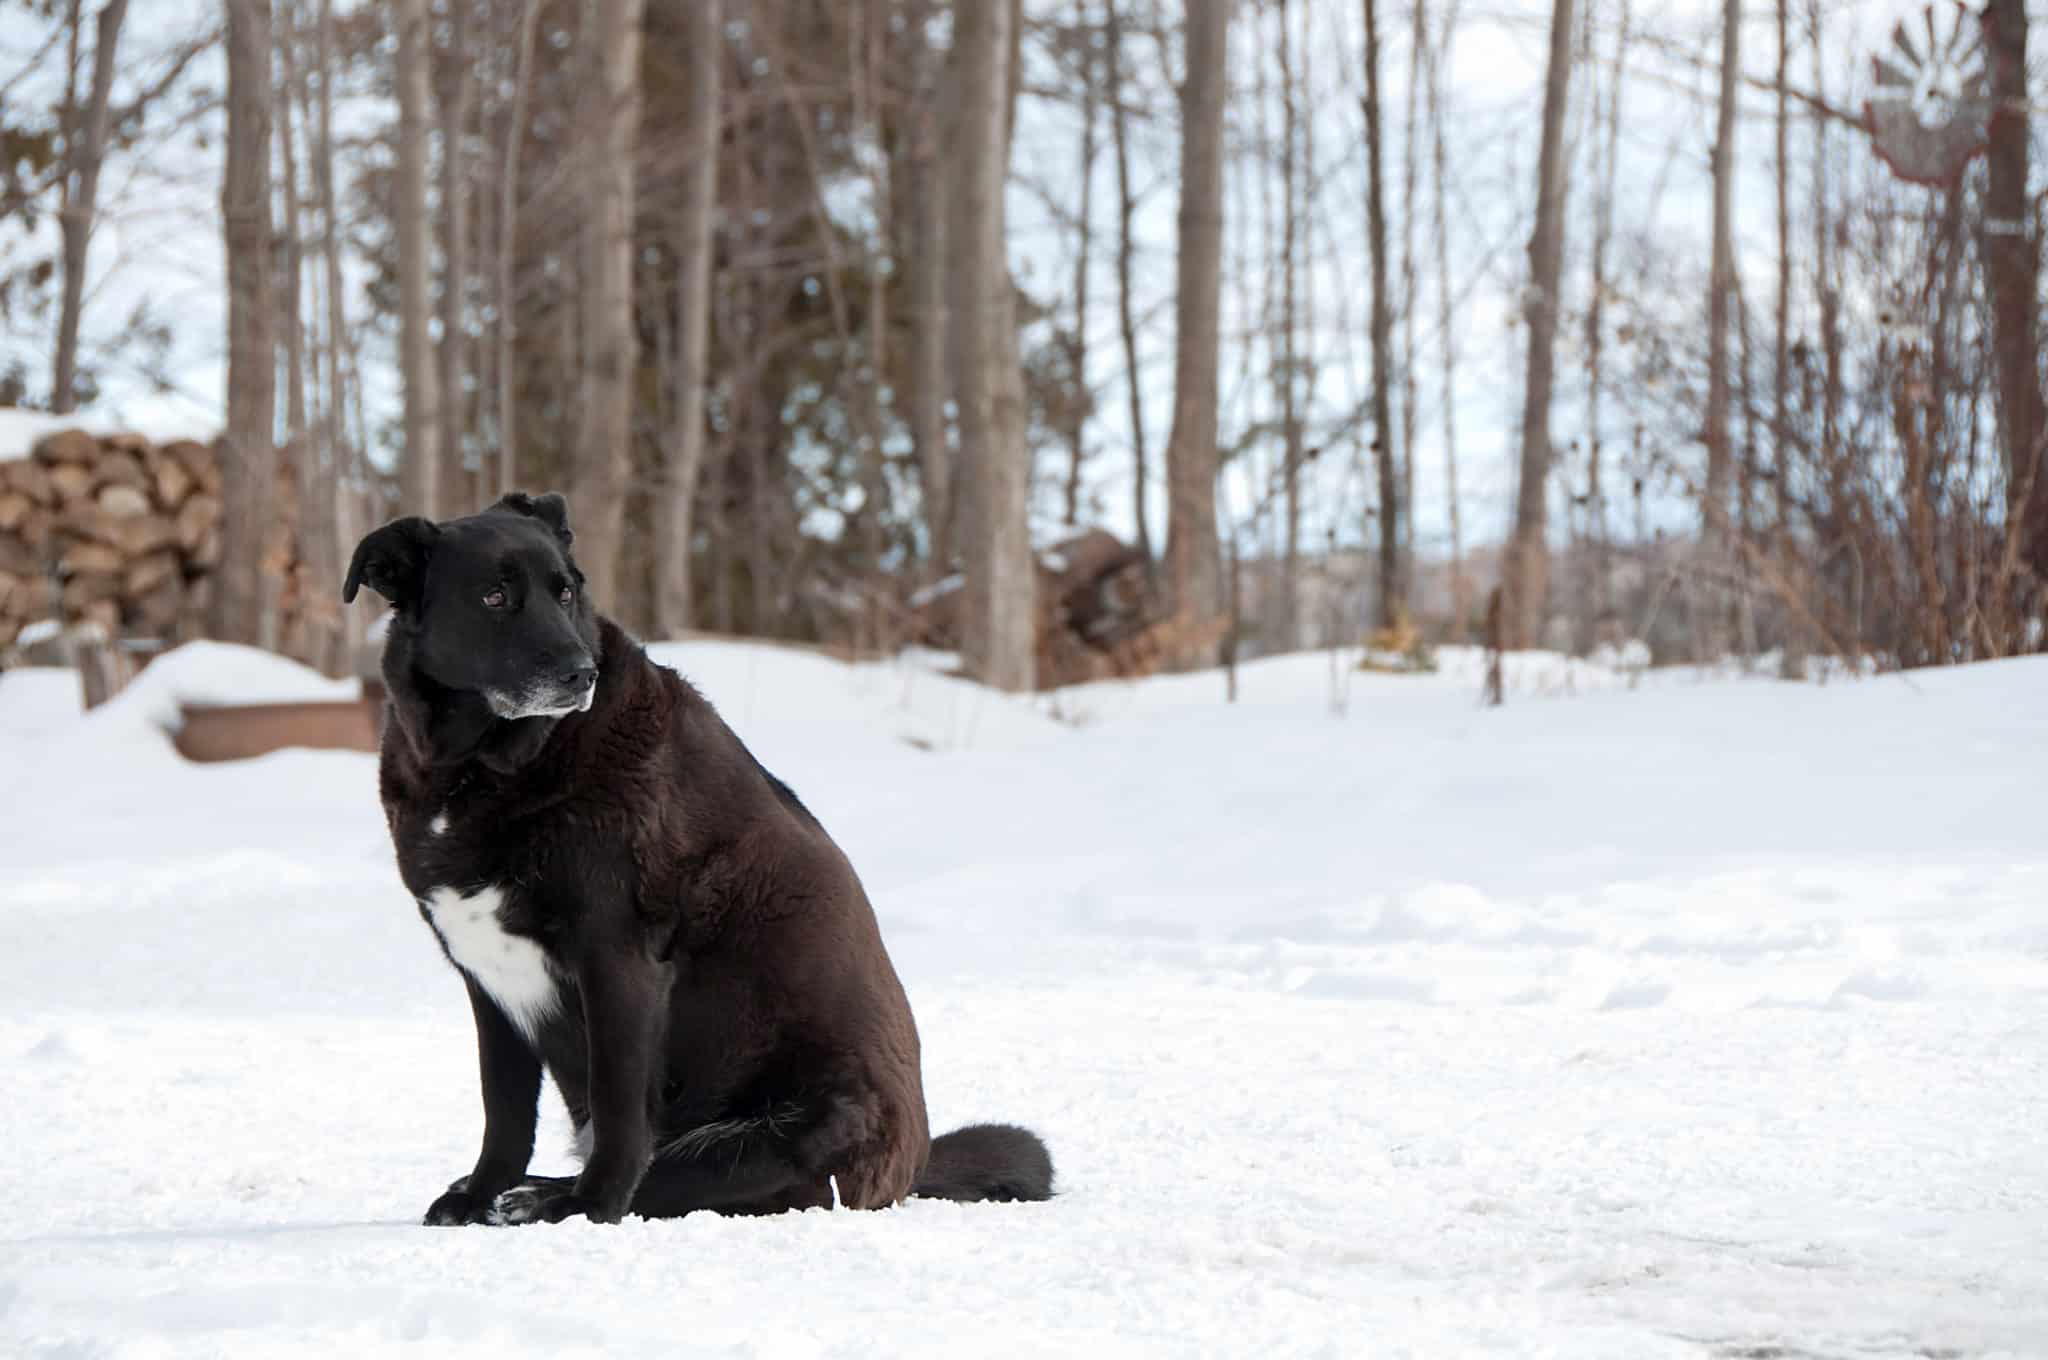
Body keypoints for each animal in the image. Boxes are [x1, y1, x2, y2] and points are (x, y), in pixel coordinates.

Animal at [342, 493, 1048, 1228]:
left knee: (725, 1182)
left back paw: (550, 1197)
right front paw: (479, 1195)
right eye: (493, 596)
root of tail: (910, 1171)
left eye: (565, 593)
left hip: (798, 1125)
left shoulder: (618, 960)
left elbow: (620, 1111)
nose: (580, 675)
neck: (486, 767)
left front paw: (589, 1206)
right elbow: (504, 1113)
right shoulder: (488, 983)